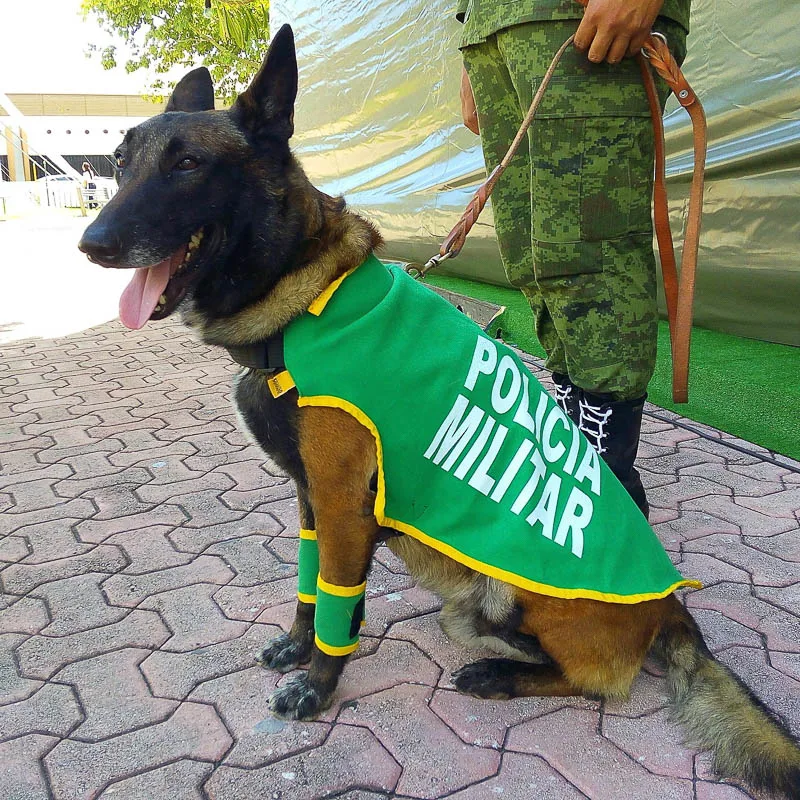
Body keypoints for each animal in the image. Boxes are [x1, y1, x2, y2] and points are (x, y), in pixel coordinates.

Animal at [76, 26, 800, 800]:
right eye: (119, 163)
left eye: (188, 164)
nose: (91, 245)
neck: (304, 304)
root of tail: (671, 604)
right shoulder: (312, 499)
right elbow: (309, 587)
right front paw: (300, 646)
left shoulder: (340, 501)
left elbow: (334, 597)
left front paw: (318, 683)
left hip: (515, 590)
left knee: (596, 680)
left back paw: (500, 674)